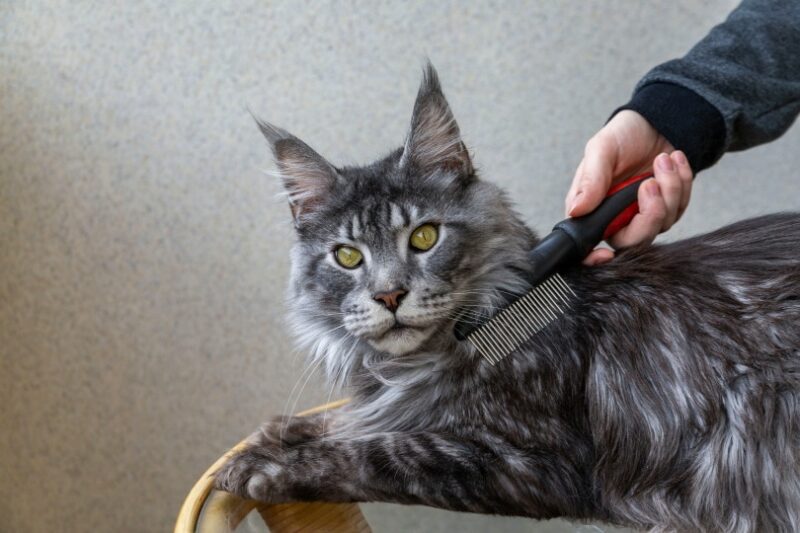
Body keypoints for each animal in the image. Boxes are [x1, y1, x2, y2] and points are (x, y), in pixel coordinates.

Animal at [214, 64, 800, 528]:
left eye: (424, 237)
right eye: (347, 257)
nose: (390, 295)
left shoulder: (533, 462)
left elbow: (381, 450)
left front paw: (266, 467)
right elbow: (349, 420)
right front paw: (275, 434)